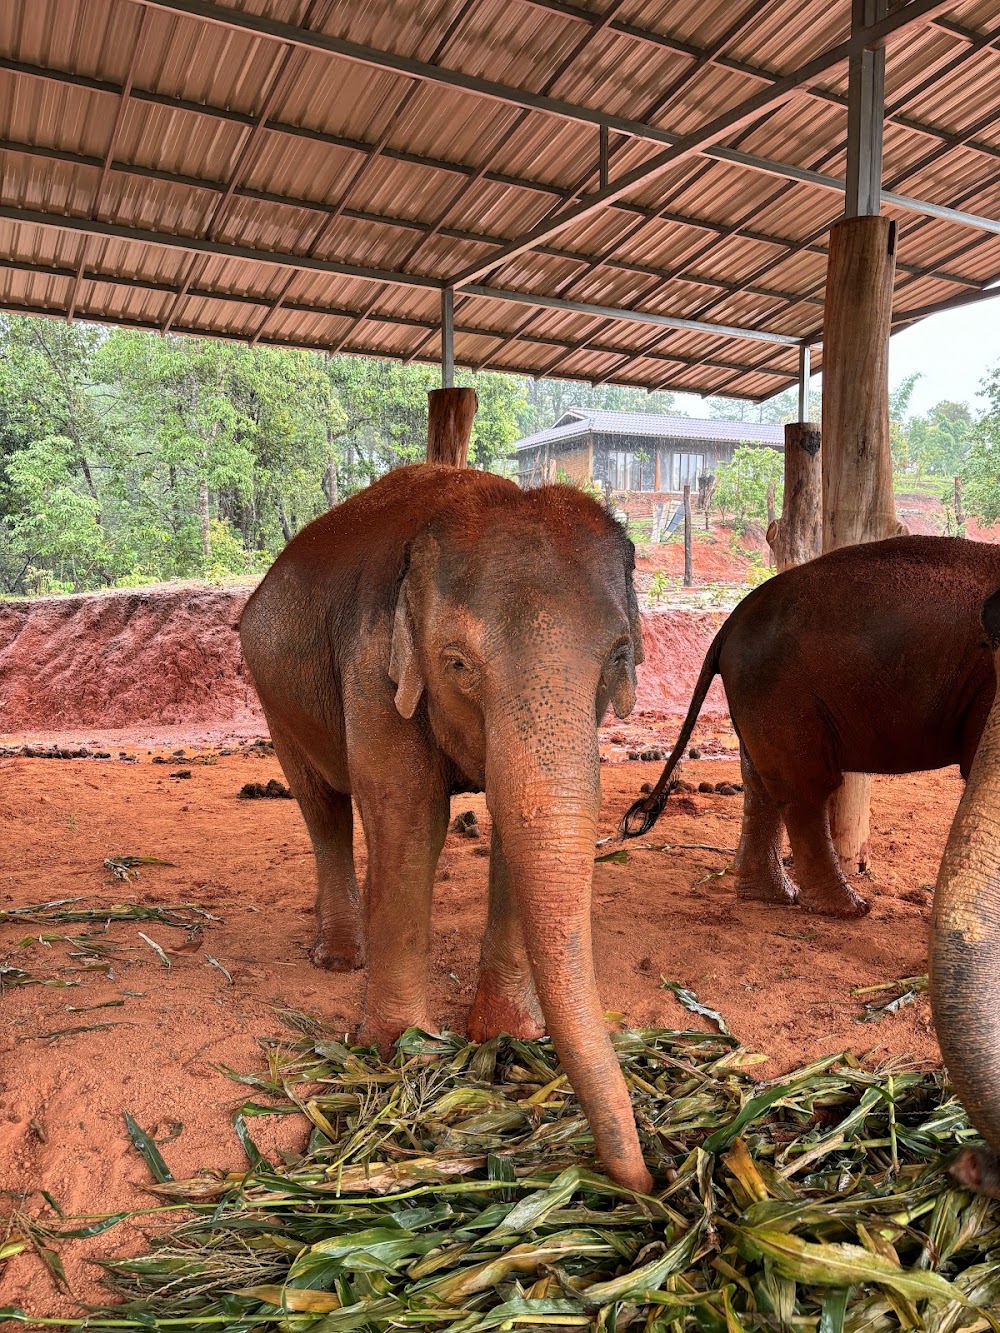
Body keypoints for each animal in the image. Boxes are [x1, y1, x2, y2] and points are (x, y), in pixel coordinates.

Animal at [240, 463, 653, 1194]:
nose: (645, 1184)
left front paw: (505, 1037)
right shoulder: (373, 664)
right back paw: (339, 958)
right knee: (322, 807)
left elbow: (515, 820)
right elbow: (409, 818)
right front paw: (400, 1050)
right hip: (276, 697)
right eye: (457, 663)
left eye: (618, 654)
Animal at [624, 530, 1000, 917]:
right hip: (780, 691)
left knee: (762, 783)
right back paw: (847, 908)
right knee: (805, 786)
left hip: (757, 692)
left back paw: (771, 896)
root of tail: (728, 625)